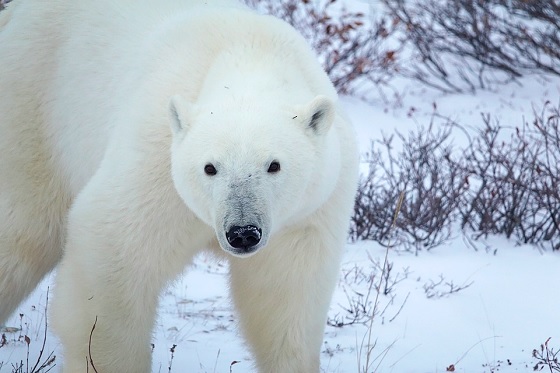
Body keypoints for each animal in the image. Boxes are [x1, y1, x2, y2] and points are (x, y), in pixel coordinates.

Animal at [0, 0, 358, 372]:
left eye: (274, 165)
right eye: (210, 167)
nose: (242, 232)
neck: (249, 53)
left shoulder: (308, 211)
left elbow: (286, 296)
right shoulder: (156, 160)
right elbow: (113, 254)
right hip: (33, 107)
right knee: (23, 234)